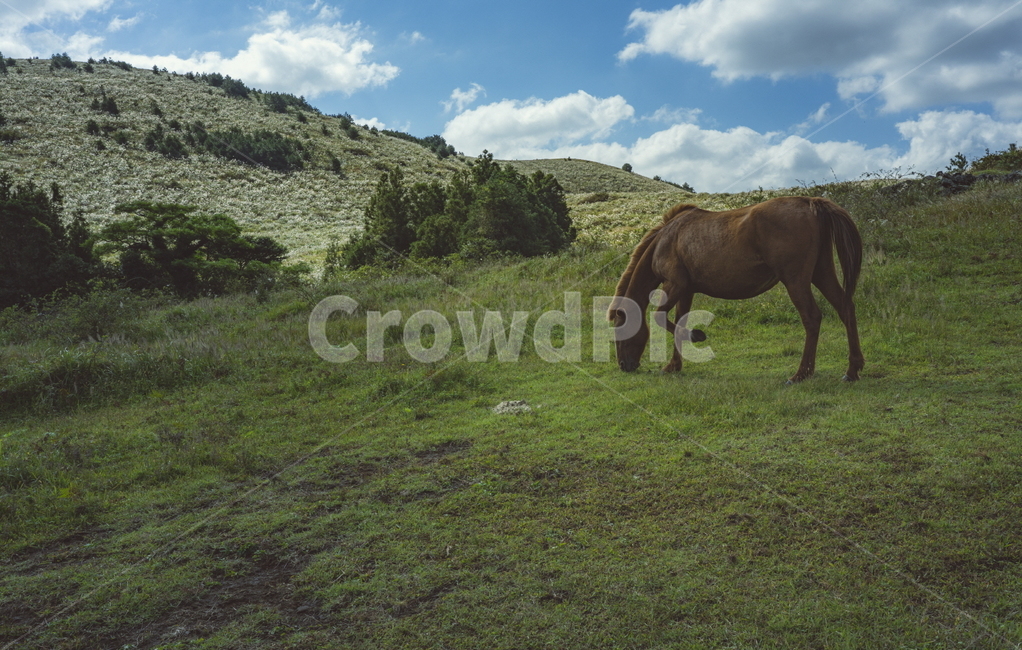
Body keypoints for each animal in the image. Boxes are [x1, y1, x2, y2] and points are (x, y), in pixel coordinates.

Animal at [608, 196, 864, 383]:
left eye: (619, 331)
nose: (624, 366)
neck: (665, 239)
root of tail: (810, 202)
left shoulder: (675, 285)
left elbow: (660, 317)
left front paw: (697, 336)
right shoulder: (686, 291)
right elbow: (679, 322)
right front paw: (674, 365)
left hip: (796, 281)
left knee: (812, 318)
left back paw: (801, 374)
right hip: (822, 273)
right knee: (846, 308)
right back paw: (852, 370)